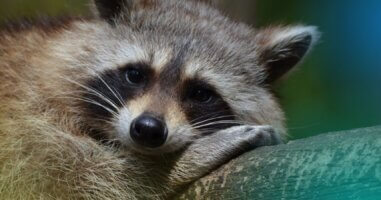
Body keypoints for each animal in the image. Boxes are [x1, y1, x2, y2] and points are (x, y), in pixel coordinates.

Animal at [0, 0, 318, 199]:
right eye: (135, 75)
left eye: (200, 93)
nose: (148, 129)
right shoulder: (23, 116)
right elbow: (76, 176)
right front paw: (175, 165)